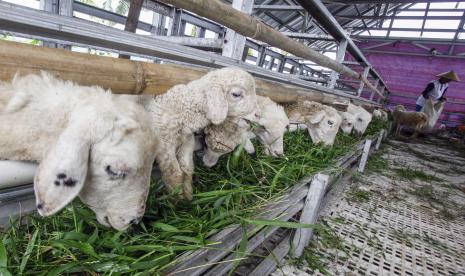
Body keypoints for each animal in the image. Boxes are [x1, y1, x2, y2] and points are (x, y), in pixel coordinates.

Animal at [140, 67, 260, 201]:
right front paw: (176, 196)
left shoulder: (187, 141)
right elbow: (174, 172)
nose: (259, 114)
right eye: (236, 94)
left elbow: (187, 169)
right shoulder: (164, 143)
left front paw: (188, 194)